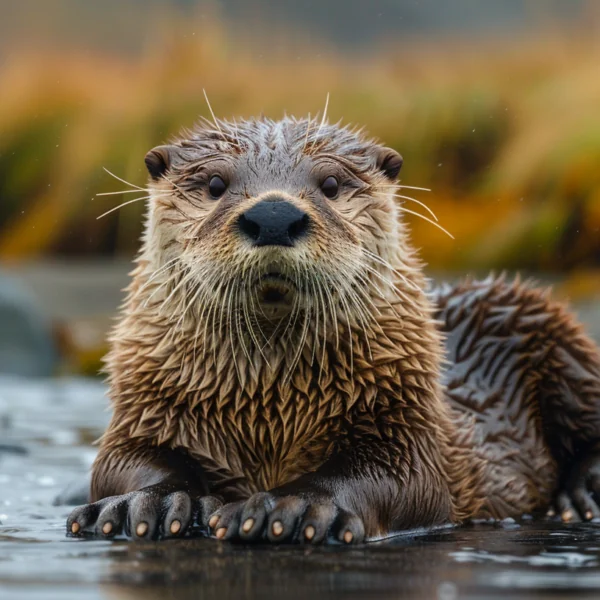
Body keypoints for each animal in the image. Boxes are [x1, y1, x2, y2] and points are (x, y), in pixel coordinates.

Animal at [67, 115, 600, 540]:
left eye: (330, 184)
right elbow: (122, 464)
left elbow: (395, 476)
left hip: (554, 337)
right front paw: (156, 501)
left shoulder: (407, 425)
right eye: (216, 184)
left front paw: (294, 505)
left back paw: (581, 496)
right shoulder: (146, 408)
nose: (274, 214)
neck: (268, 411)